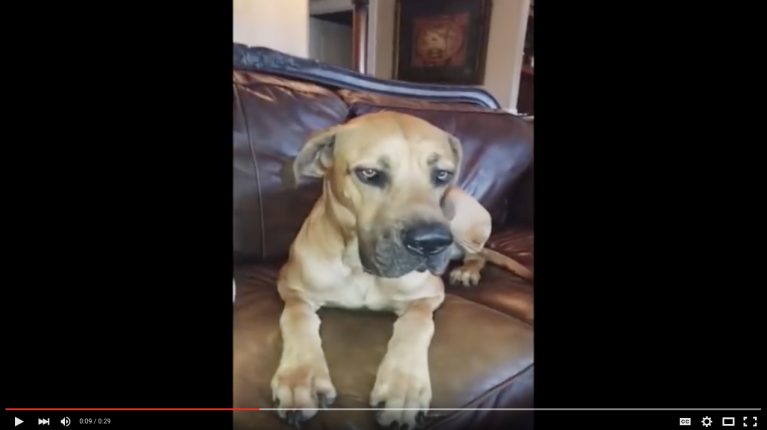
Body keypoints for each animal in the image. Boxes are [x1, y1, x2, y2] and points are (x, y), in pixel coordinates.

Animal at [271, 111, 532, 429]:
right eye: (370, 174)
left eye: (441, 175)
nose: (431, 243)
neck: (361, 268)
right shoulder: (291, 287)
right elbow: (297, 317)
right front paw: (301, 377)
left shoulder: (427, 296)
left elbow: (414, 326)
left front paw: (403, 387)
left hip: (462, 224)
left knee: (478, 253)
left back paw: (467, 271)